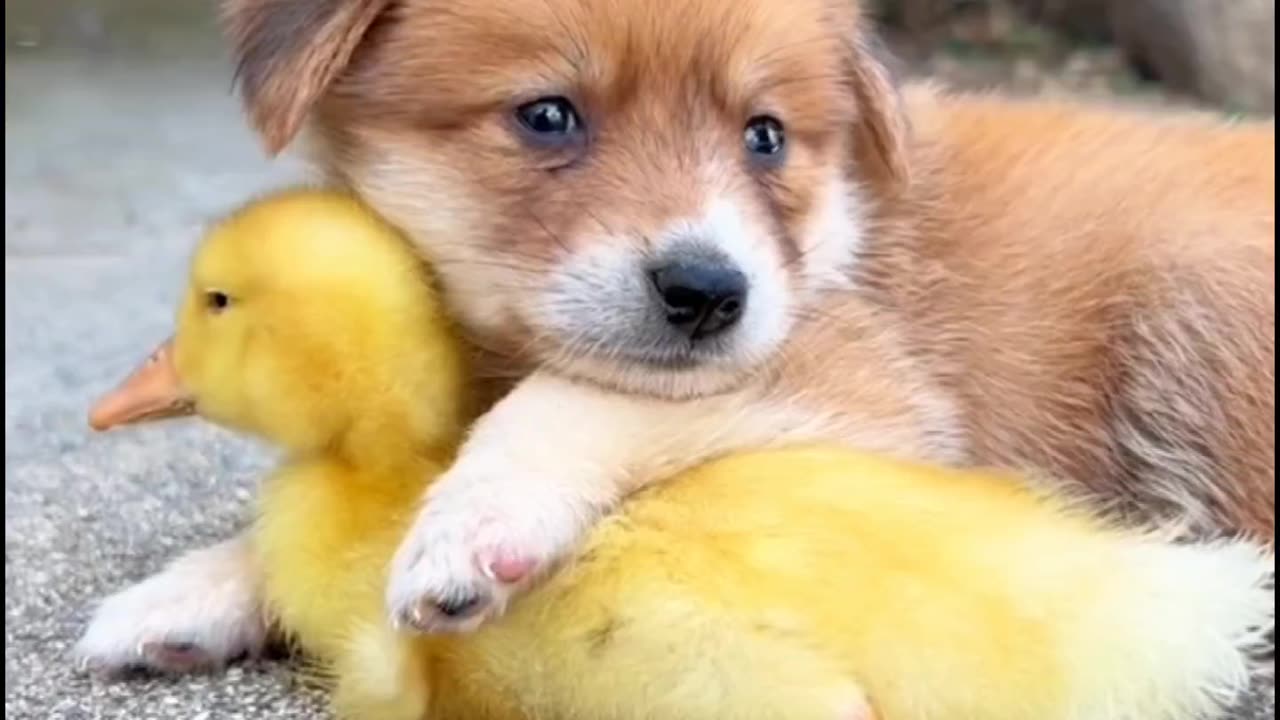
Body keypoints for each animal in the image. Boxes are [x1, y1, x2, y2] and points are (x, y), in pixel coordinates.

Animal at [77, 0, 1269, 676]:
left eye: (765, 136)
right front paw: (191, 594)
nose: (709, 292)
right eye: (547, 114)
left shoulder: (856, 379)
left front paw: (471, 526)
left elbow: (578, 397)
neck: (837, 225)